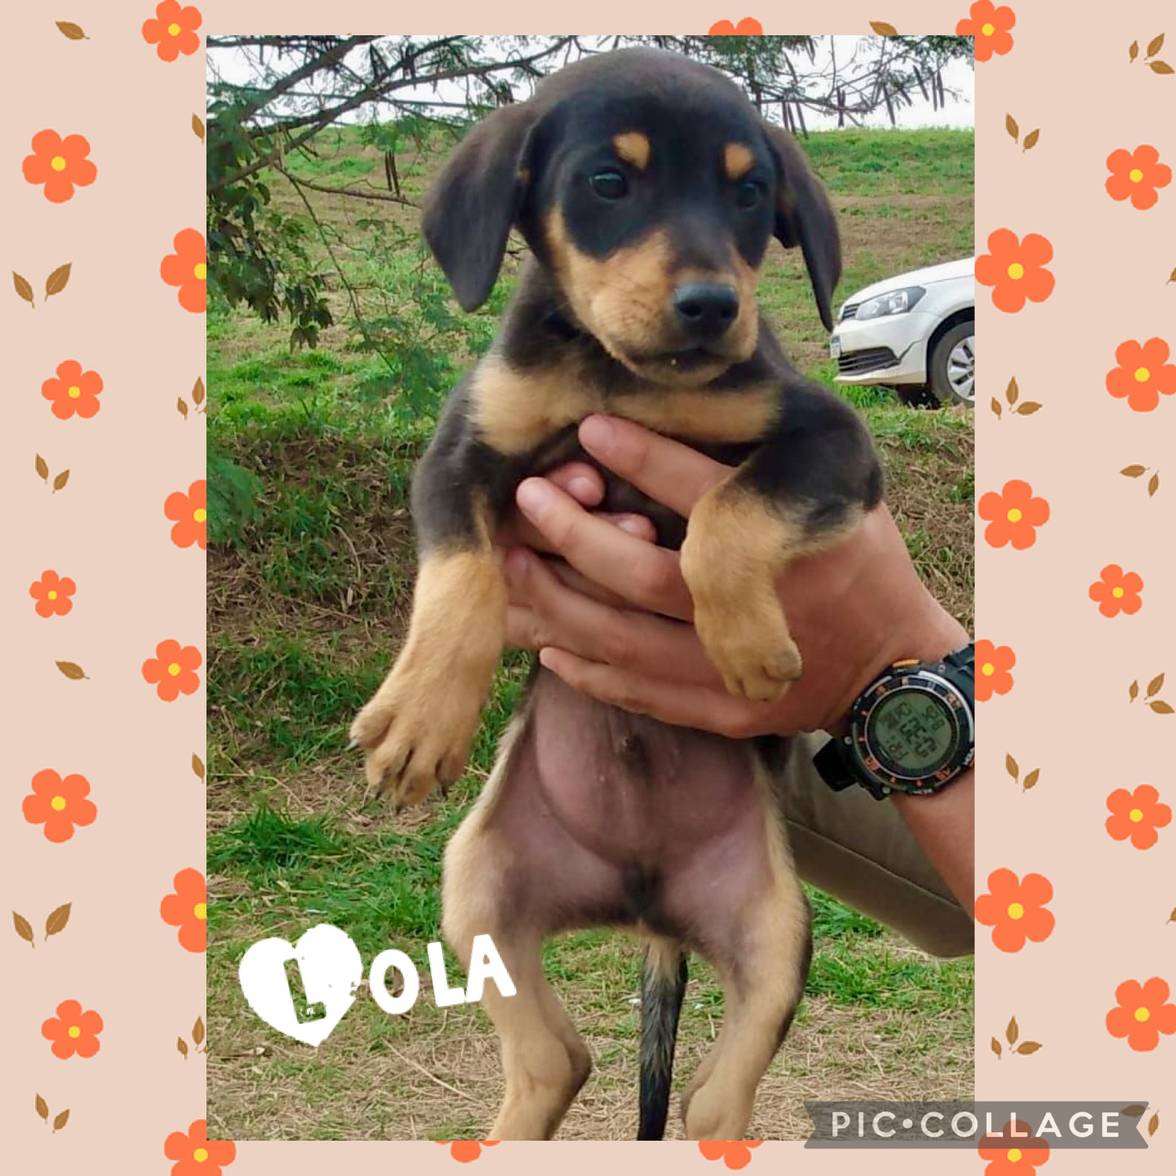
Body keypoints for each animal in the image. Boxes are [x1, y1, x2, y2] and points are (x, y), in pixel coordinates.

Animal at [350, 47, 882, 1140]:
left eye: (750, 194)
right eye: (607, 182)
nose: (713, 306)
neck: (619, 374)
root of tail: (644, 904)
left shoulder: (834, 444)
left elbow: (727, 509)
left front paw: (746, 646)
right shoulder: (460, 453)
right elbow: (461, 578)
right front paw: (421, 720)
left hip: (775, 930)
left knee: (711, 1100)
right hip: (478, 885)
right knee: (559, 1059)